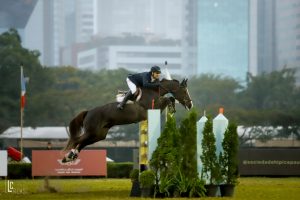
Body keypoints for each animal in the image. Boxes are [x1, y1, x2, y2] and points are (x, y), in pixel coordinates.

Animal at [61, 78, 192, 162]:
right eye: (184, 91)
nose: (190, 105)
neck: (153, 91)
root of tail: (88, 112)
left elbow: (170, 98)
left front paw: (172, 108)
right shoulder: (154, 107)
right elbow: (167, 99)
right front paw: (172, 107)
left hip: (99, 135)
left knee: (82, 142)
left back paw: (70, 157)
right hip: (91, 132)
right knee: (76, 140)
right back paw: (67, 156)